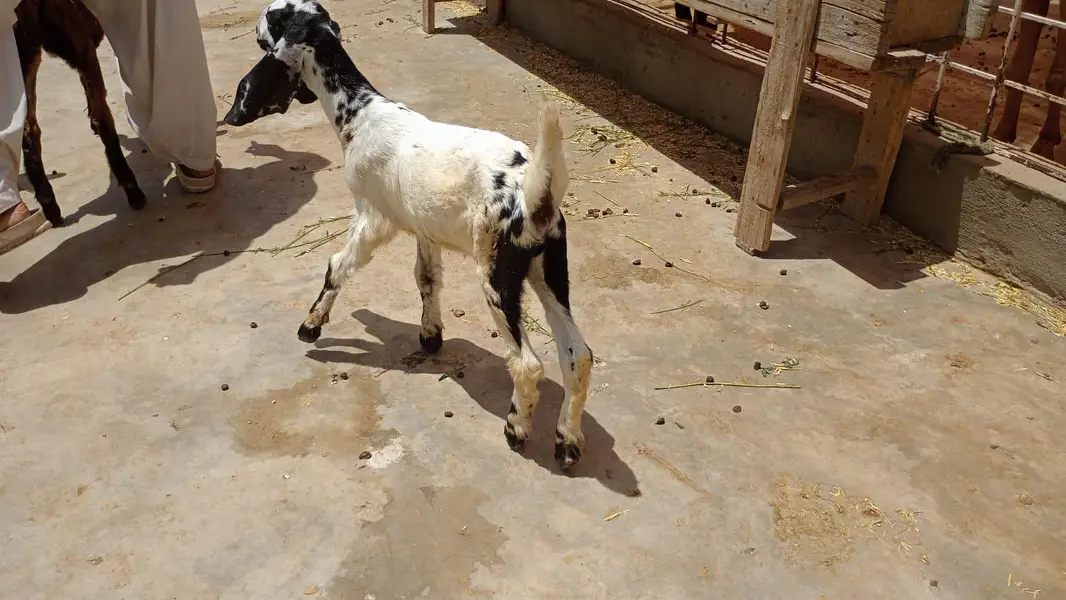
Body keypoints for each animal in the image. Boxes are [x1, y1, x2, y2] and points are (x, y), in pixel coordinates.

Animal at [223, 0, 594, 471]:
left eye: (272, 20)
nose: (256, 31)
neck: (360, 114)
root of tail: (536, 193)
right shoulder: (424, 228)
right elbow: (426, 279)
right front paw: (430, 336)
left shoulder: (373, 218)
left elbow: (337, 266)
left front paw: (311, 326)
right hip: (549, 268)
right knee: (578, 354)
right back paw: (567, 441)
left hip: (497, 271)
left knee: (528, 364)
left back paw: (516, 429)